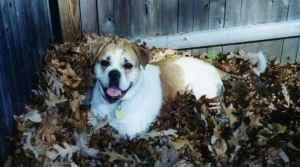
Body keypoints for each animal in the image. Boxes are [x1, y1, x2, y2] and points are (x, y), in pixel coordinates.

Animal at [88, 38, 224, 138]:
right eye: (104, 62)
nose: (114, 73)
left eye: (128, 65)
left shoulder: (129, 130)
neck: (116, 104)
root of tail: (212, 67)